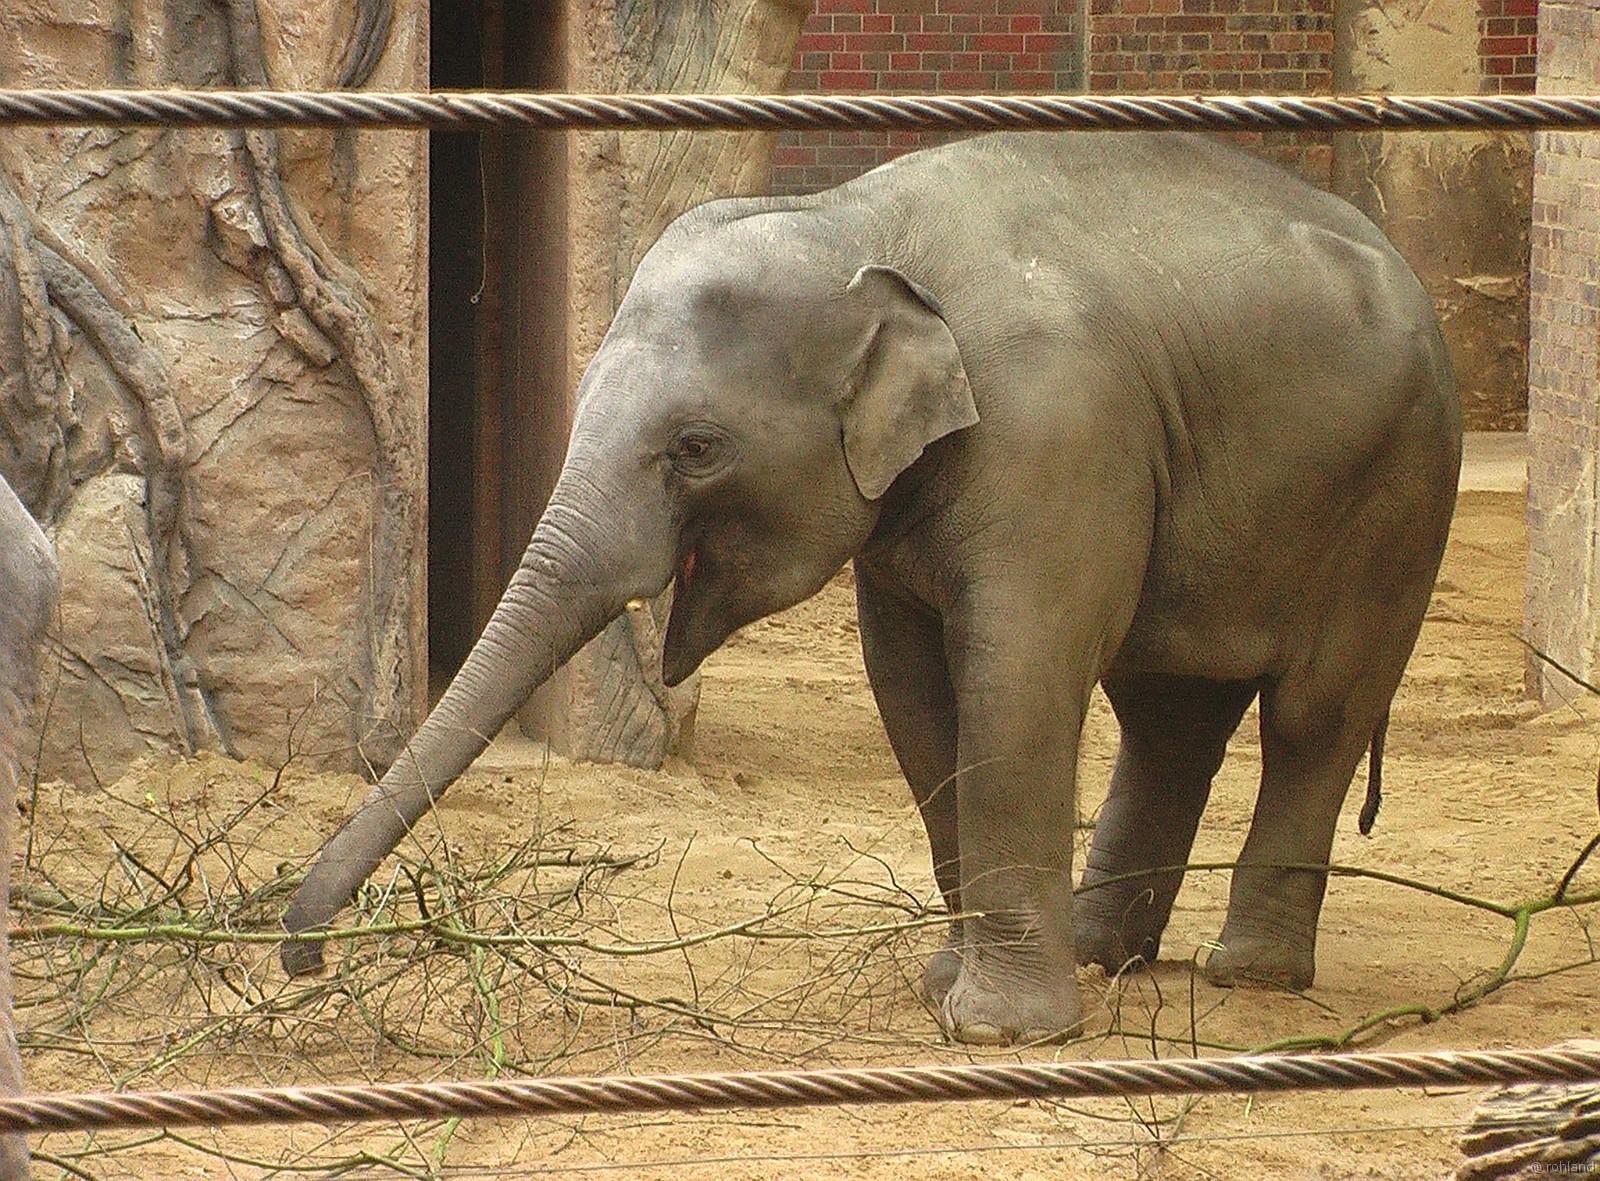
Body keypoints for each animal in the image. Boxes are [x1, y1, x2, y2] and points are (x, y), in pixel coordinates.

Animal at [283, 131, 1462, 1046]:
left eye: (696, 447)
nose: (301, 952)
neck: (855, 223)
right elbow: (910, 689)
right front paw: (947, 986)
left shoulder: (1056, 434)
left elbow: (1015, 677)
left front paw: (1001, 1031)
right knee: (1168, 716)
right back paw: (1101, 952)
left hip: (1400, 494)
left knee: (1314, 714)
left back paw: (1245, 971)